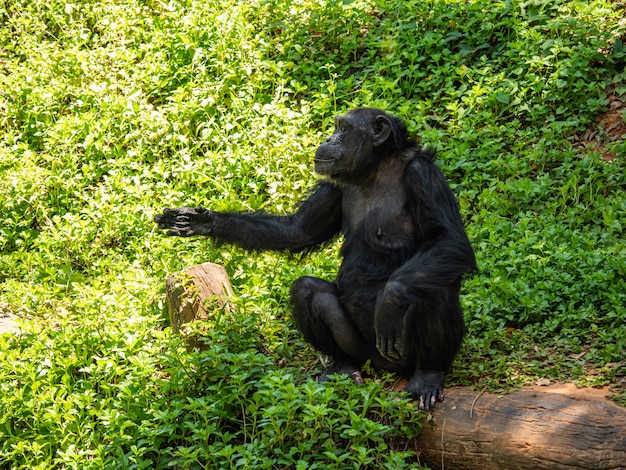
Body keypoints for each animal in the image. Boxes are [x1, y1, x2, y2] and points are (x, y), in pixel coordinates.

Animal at [154, 108, 476, 410]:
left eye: (343, 129)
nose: (328, 138)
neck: (375, 169)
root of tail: (388, 370)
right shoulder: (333, 186)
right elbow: (298, 230)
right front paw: (202, 221)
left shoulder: (424, 176)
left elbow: (449, 240)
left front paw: (391, 300)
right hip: (364, 352)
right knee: (307, 289)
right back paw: (342, 367)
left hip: (402, 352)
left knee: (435, 288)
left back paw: (427, 376)